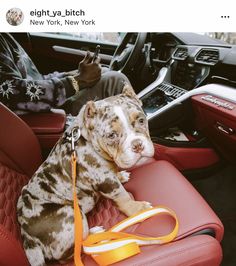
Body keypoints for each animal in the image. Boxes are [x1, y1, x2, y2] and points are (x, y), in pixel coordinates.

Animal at [17, 84, 156, 264]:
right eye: (111, 135)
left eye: (141, 120)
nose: (138, 144)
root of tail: (25, 232)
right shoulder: (105, 179)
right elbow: (123, 196)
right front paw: (138, 209)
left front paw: (121, 175)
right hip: (72, 216)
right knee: (69, 252)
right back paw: (94, 234)